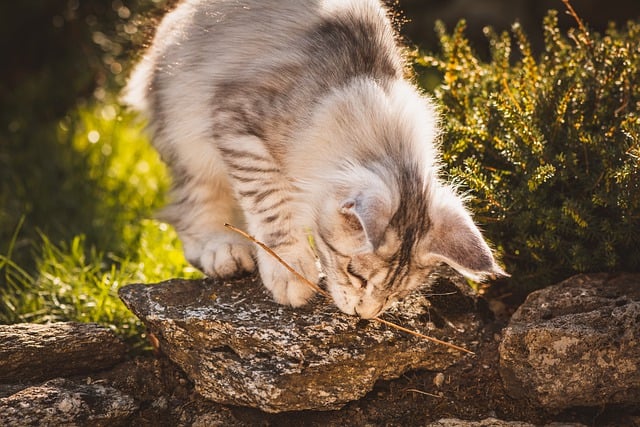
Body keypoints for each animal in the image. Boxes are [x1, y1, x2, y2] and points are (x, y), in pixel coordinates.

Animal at [124, 0, 504, 320]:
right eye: (356, 275)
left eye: (399, 292)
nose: (365, 315)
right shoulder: (237, 120)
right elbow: (270, 203)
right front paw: (289, 268)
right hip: (186, 128)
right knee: (193, 202)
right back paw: (223, 248)